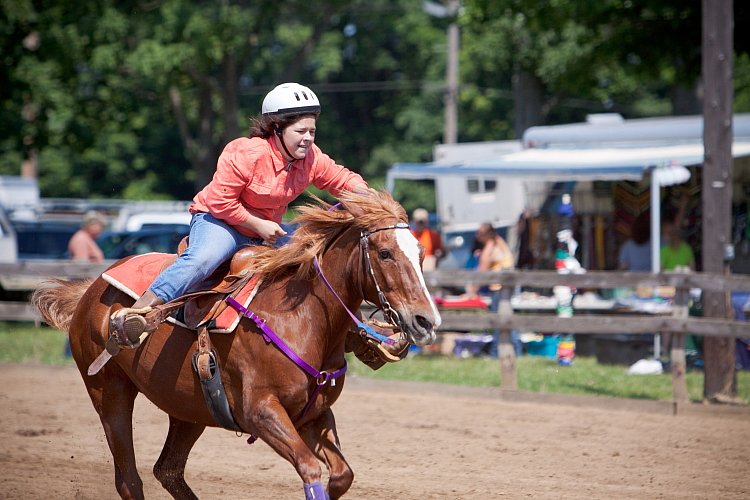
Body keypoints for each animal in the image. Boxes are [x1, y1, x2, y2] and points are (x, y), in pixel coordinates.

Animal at [32, 189, 440, 498]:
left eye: (420, 254)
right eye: (385, 253)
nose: (427, 321)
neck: (302, 318)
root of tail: (91, 290)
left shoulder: (314, 415)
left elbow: (341, 475)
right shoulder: (262, 412)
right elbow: (310, 469)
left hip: (188, 409)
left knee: (168, 470)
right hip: (109, 394)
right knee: (129, 479)